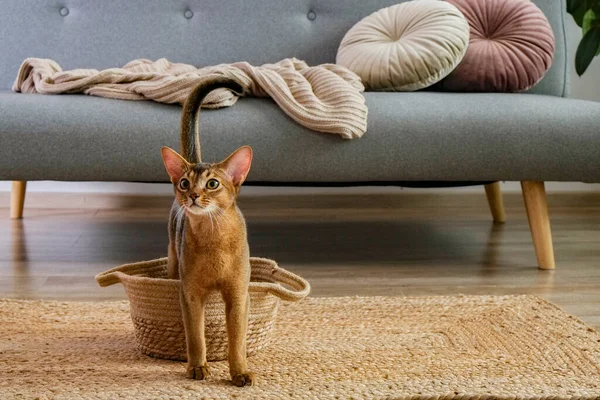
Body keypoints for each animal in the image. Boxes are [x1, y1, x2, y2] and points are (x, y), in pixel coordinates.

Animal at [159, 78, 255, 388]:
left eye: (212, 183)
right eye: (184, 183)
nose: (192, 195)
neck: (214, 239)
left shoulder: (238, 294)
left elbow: (237, 340)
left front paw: (240, 372)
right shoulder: (190, 294)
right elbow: (196, 336)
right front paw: (198, 367)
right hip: (173, 262)